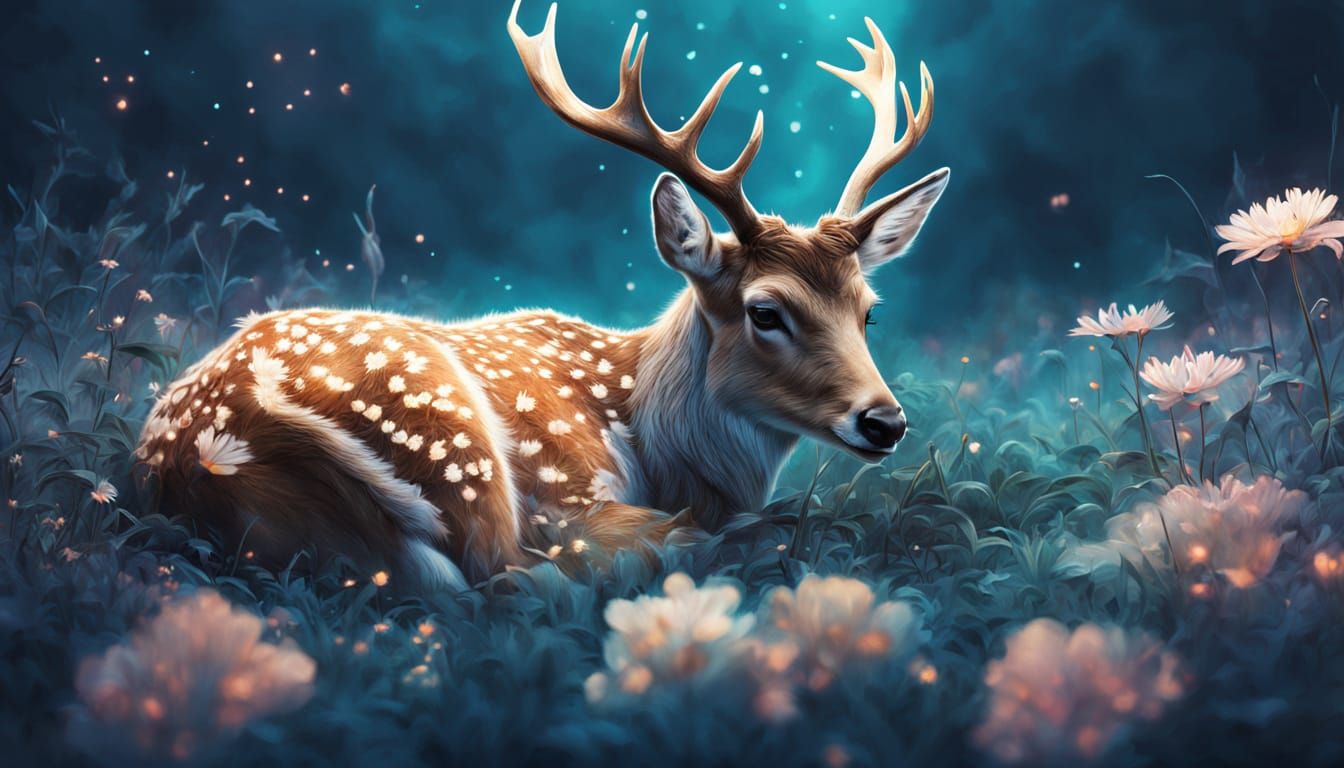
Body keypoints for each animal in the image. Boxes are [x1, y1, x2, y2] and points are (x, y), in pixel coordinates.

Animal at [134, 0, 949, 591]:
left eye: (869, 311)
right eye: (766, 311)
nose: (885, 421)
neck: (649, 428)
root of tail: (208, 449)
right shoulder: (569, 495)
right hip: (456, 442)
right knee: (513, 574)